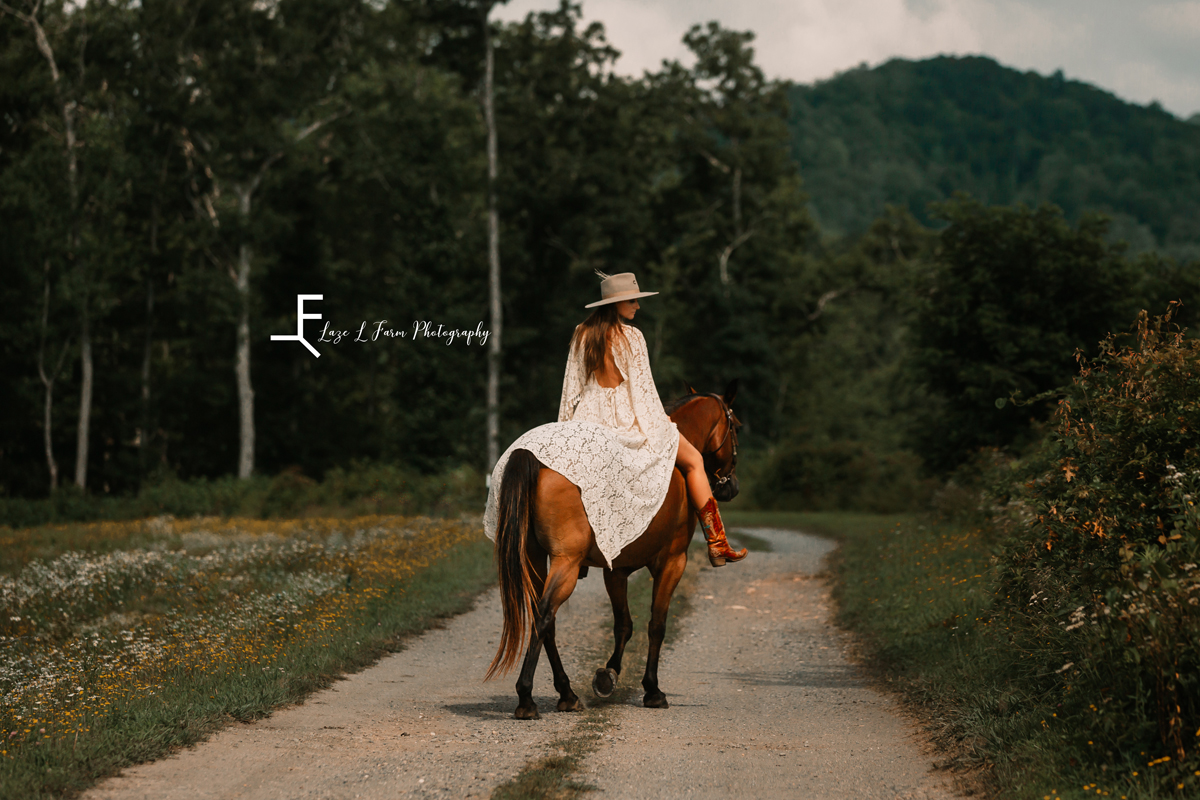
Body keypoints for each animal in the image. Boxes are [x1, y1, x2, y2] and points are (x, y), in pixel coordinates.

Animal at [487, 381, 739, 719]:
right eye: (736, 427)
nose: (731, 487)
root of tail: (531, 455)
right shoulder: (673, 562)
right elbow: (656, 625)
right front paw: (652, 690)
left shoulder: (616, 570)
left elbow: (623, 624)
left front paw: (608, 676)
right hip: (566, 562)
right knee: (543, 614)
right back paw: (526, 698)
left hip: (534, 558)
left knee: (546, 620)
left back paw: (567, 693)